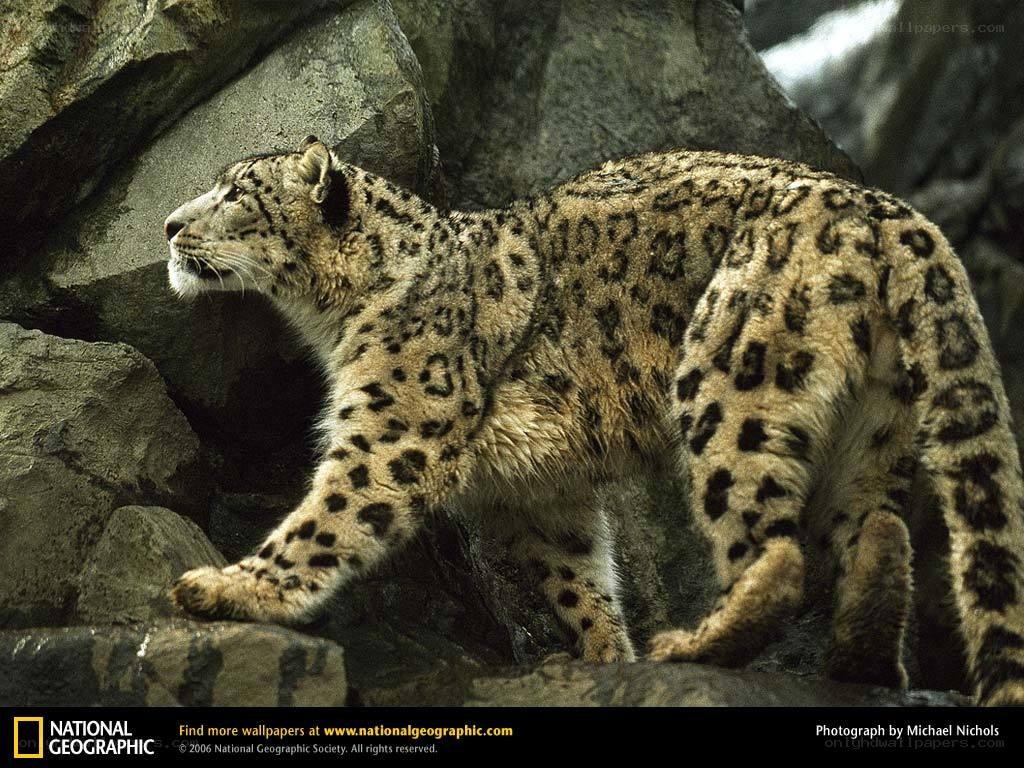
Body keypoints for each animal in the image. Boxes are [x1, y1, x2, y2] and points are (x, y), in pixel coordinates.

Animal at [165, 135, 1024, 705]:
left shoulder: (395, 428)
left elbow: (328, 519)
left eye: (237, 192)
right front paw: (608, 657)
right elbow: (578, 575)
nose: (171, 225)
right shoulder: (546, 488)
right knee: (878, 533)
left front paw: (228, 589)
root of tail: (890, 211)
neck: (336, 320)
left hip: (730, 379)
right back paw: (858, 660)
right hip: (875, 425)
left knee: (777, 554)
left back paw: (697, 644)